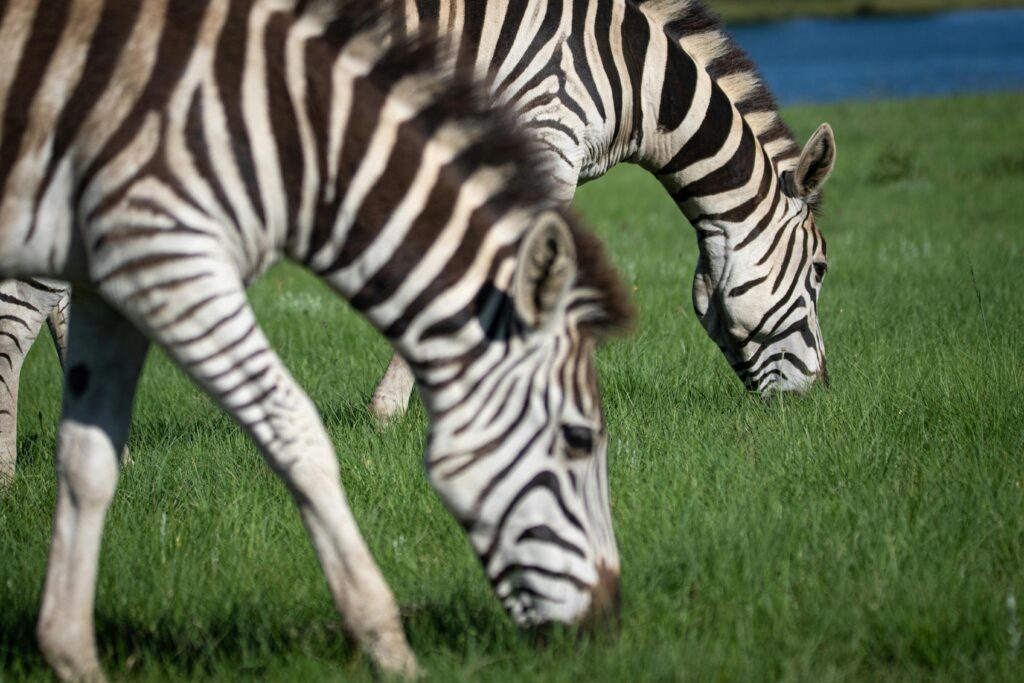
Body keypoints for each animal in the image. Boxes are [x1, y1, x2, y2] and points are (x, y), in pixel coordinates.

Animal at [0, 0, 630, 679]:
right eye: (579, 439)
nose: (606, 625)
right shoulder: (167, 258)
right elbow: (297, 431)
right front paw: (387, 641)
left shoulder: (112, 283)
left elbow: (86, 459)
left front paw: (69, 648)